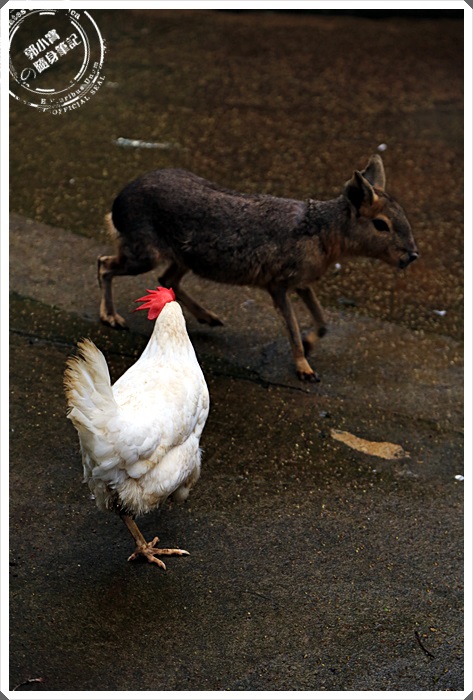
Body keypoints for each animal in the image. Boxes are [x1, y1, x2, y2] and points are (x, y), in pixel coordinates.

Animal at [98, 155, 418, 381]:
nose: (412, 255)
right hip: (144, 254)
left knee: (166, 279)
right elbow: (292, 327)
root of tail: (117, 203)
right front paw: (304, 368)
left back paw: (209, 317)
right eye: (381, 224)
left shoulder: (303, 282)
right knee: (104, 265)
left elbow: (323, 321)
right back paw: (111, 317)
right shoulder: (278, 284)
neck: (323, 235)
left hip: (185, 258)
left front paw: (310, 344)